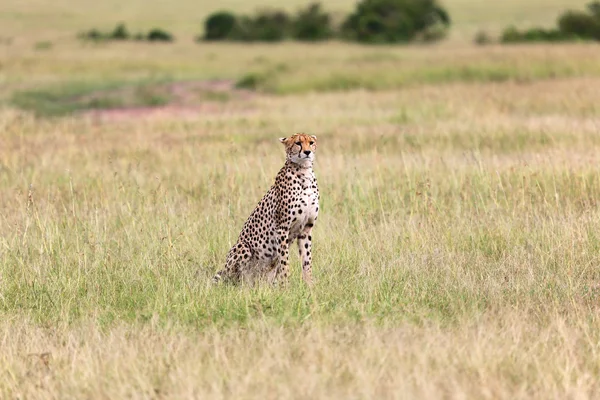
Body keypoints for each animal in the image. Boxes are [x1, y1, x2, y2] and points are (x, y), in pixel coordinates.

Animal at [213, 134, 322, 288]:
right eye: (298, 143)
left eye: (311, 143)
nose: (307, 152)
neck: (304, 171)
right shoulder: (282, 228)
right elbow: (285, 261)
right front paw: (286, 285)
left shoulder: (306, 228)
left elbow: (307, 259)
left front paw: (309, 285)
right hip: (243, 247)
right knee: (232, 279)